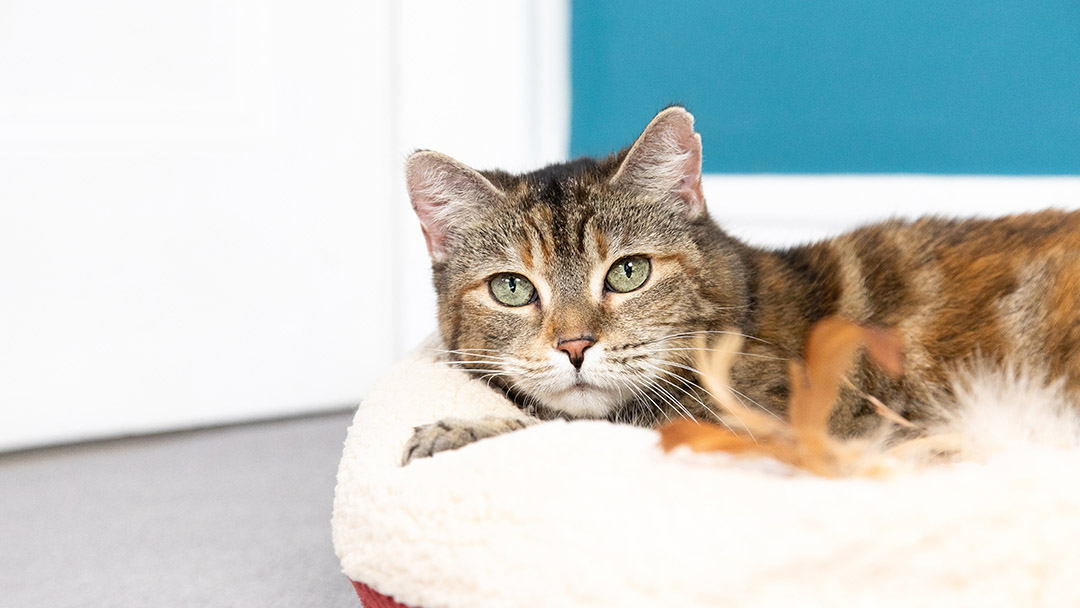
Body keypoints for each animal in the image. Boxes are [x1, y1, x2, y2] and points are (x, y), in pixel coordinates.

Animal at [401, 106, 1080, 464]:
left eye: (628, 272)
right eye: (512, 289)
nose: (574, 346)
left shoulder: (764, 431)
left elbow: (571, 430)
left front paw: (460, 430)